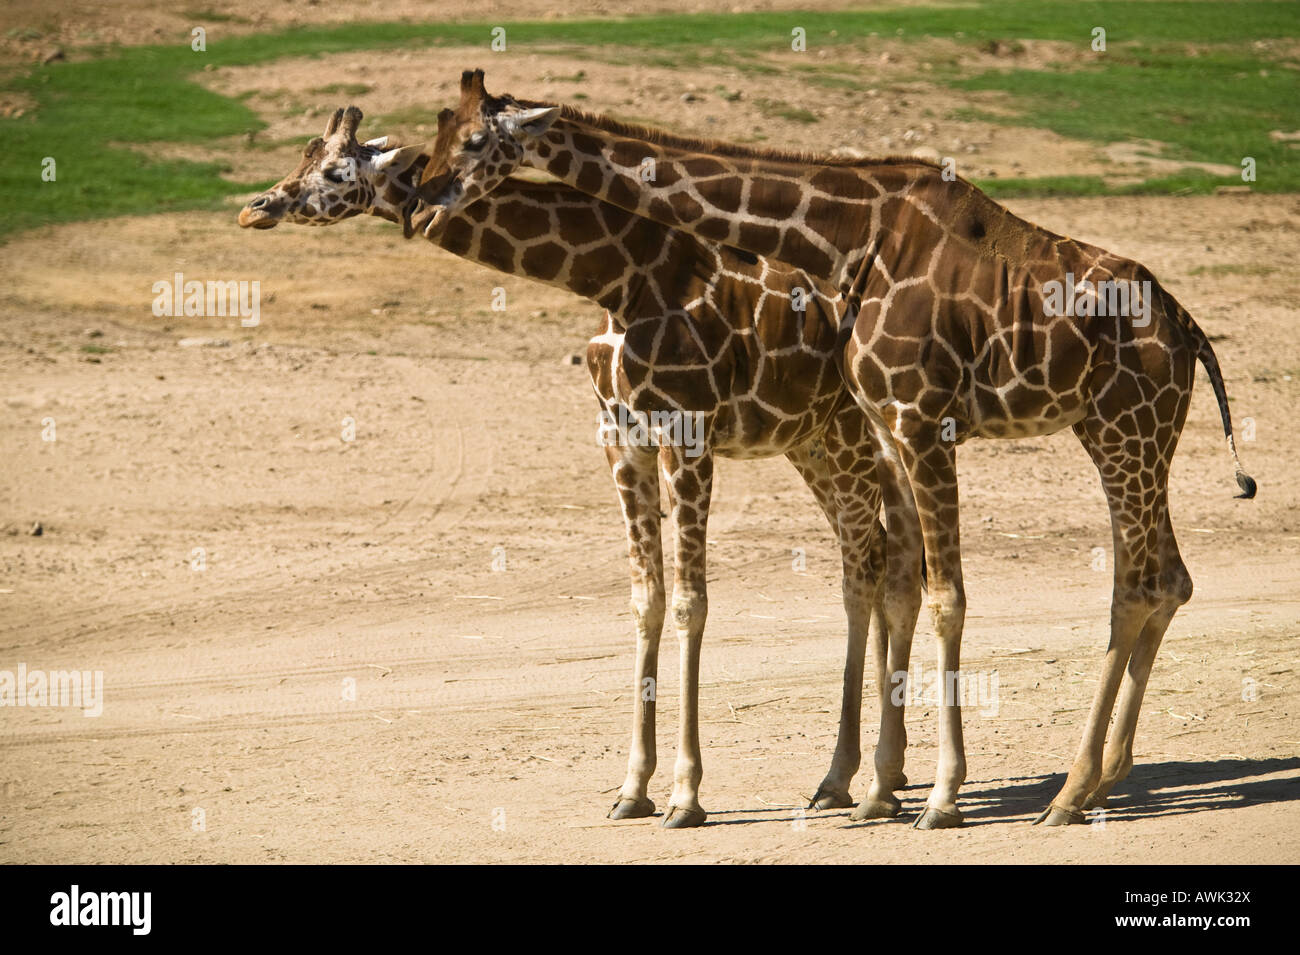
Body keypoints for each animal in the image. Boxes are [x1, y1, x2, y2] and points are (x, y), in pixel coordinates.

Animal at [238, 106, 925, 827]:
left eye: (335, 171)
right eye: (303, 156)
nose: (257, 207)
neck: (617, 276)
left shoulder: (688, 432)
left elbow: (691, 603)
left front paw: (685, 795)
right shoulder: (620, 439)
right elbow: (645, 600)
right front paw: (633, 788)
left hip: (856, 433)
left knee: (875, 563)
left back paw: (860, 778)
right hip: (811, 440)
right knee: (875, 557)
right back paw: (866, 775)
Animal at [415, 70, 1257, 828]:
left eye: (473, 141)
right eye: (432, 133)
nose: (422, 198)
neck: (848, 237)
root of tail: (1186, 328)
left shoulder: (917, 418)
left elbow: (946, 597)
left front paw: (940, 799)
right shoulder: (882, 423)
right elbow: (899, 583)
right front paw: (882, 785)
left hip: (1126, 426)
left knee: (1136, 585)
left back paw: (1070, 791)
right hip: (1115, 430)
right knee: (1163, 577)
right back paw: (1096, 778)